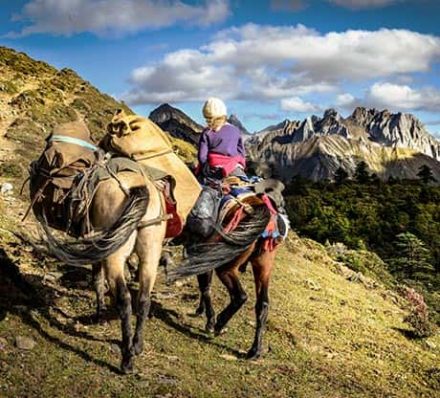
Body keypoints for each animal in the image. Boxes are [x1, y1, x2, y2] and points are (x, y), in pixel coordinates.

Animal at [168, 194, 282, 360]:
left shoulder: (201, 255)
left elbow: (205, 288)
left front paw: (209, 320)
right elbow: (205, 286)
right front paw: (201, 311)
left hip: (226, 268)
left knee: (240, 296)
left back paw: (219, 324)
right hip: (263, 267)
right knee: (263, 304)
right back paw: (254, 351)